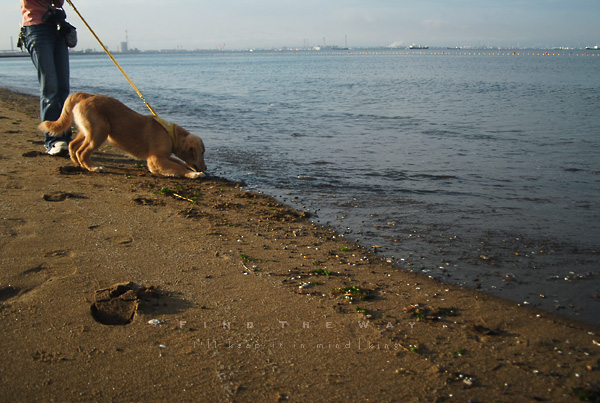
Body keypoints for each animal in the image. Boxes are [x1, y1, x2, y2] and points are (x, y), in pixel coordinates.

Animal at [38, 93, 206, 180]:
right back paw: (94, 167)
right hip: (100, 131)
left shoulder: (164, 156)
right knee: (82, 151)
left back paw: (78, 163)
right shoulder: (155, 160)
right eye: (202, 153)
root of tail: (87, 95)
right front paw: (193, 173)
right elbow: (177, 166)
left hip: (86, 131)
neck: (171, 134)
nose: (205, 168)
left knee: (73, 145)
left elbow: (178, 161)